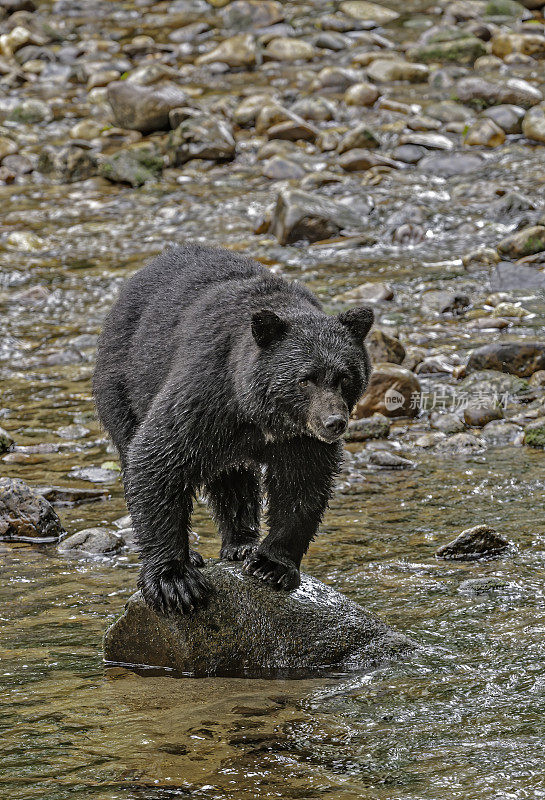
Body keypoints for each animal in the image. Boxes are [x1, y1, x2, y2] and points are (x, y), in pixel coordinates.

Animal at [94, 244, 374, 612]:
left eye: (344, 377)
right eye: (305, 379)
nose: (334, 422)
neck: (257, 413)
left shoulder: (300, 438)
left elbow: (302, 484)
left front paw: (272, 565)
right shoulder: (205, 394)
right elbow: (158, 459)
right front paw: (174, 580)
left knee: (232, 476)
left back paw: (241, 543)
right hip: (123, 383)